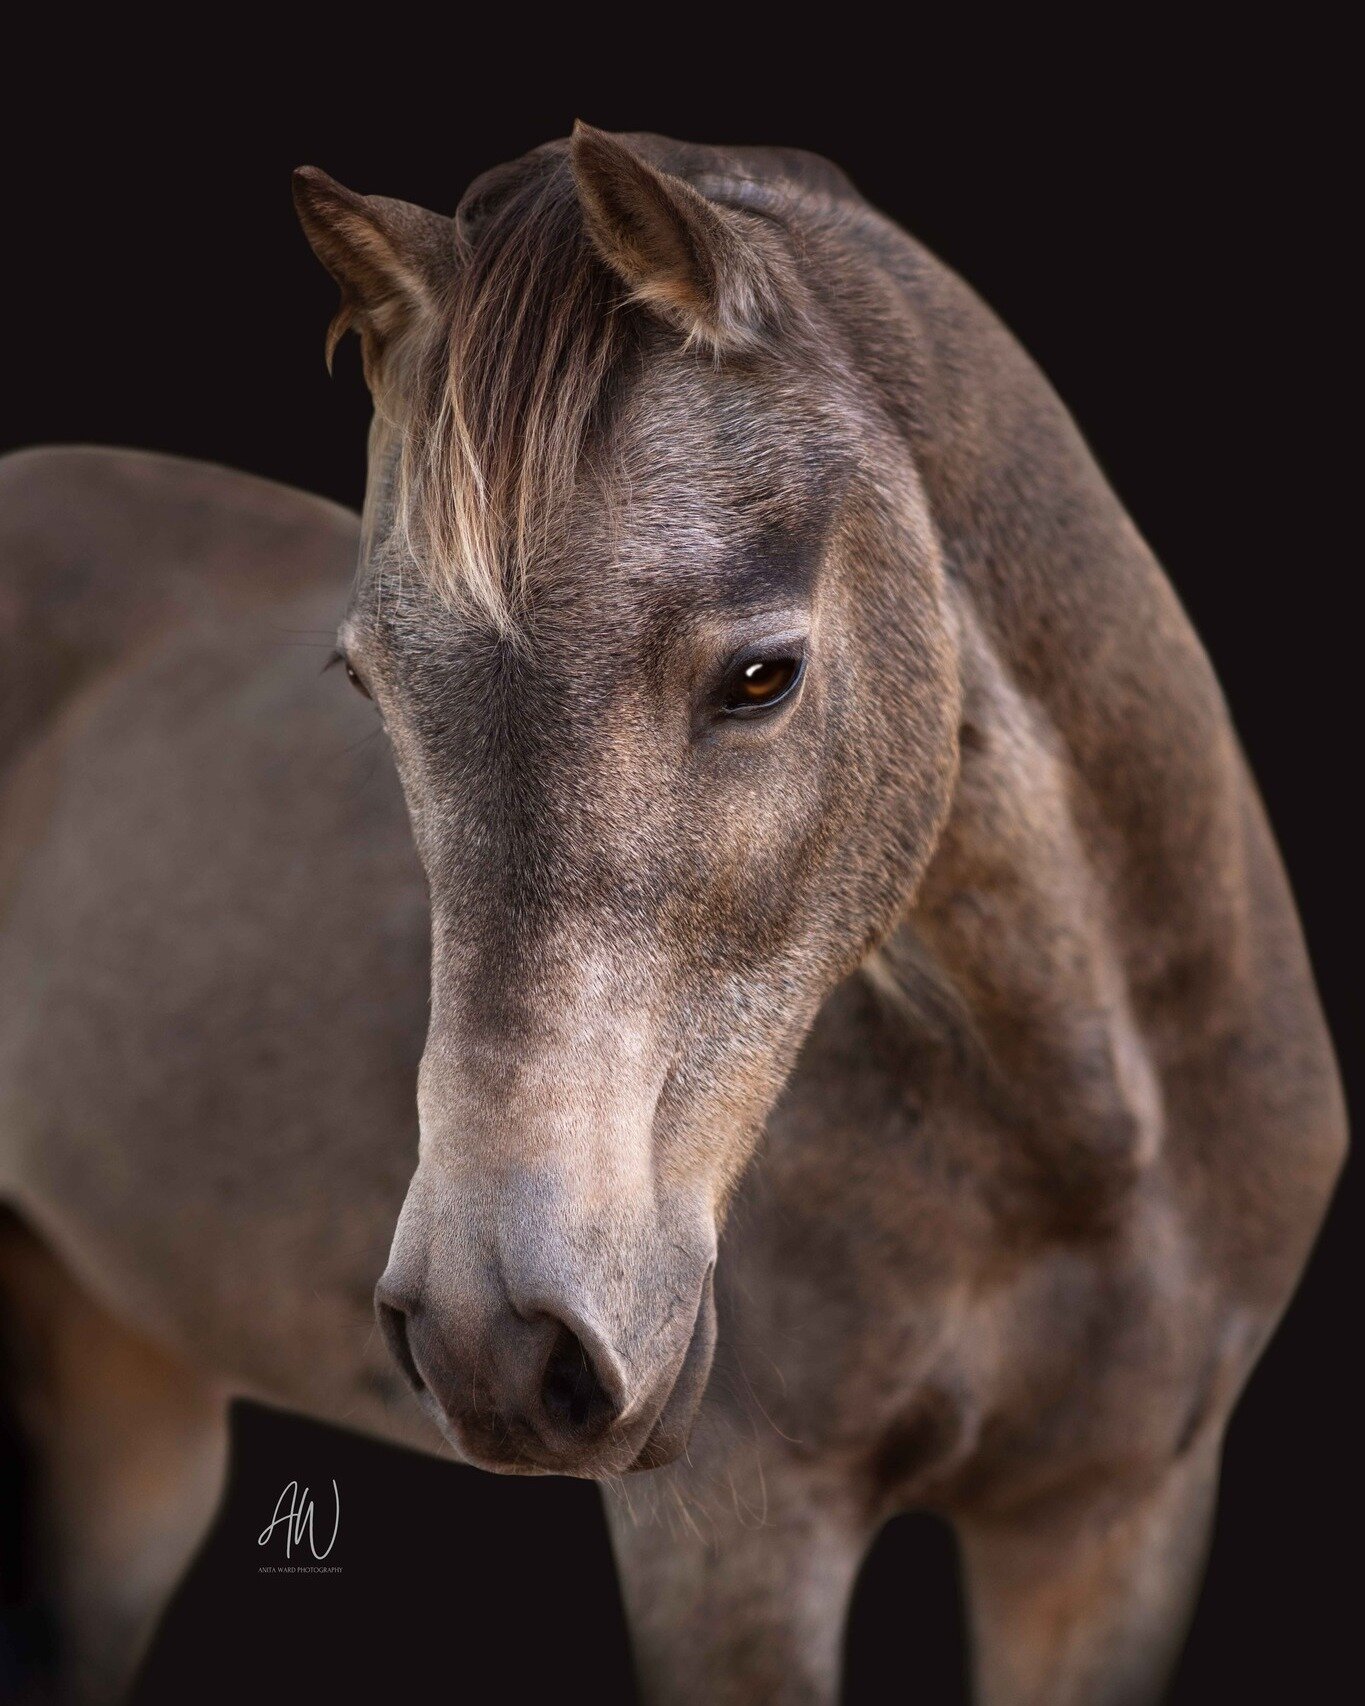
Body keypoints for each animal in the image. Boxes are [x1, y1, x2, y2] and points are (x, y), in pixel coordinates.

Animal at [0, 129, 1344, 1706]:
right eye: (368, 685)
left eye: (762, 675)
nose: (496, 1337)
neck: (1083, 1140)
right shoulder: (739, 1540)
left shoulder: (1113, 1519)